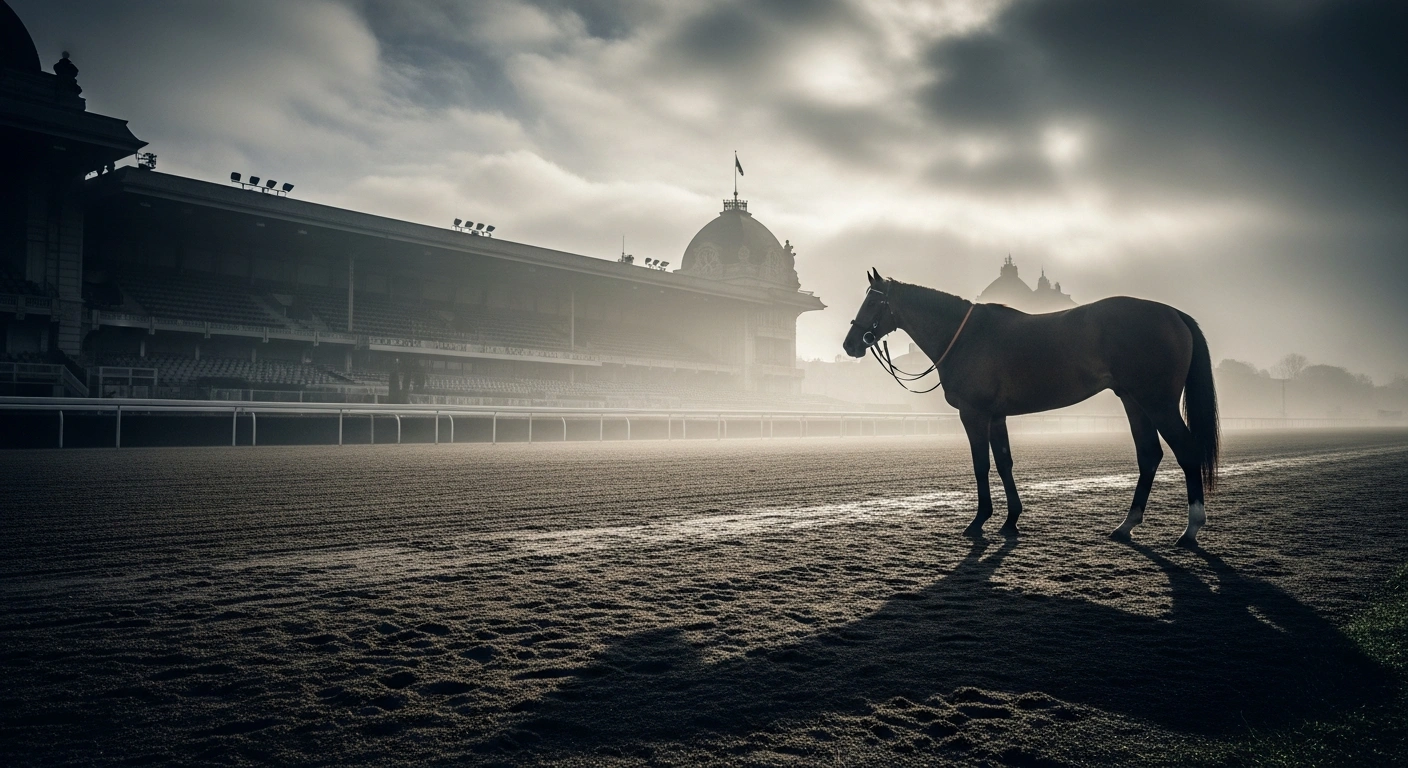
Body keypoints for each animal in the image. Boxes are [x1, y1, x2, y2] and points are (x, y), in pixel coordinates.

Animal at [842, 270, 1219, 547]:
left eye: (873, 302)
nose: (849, 344)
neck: (966, 336)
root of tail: (1173, 313)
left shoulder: (974, 414)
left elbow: (981, 466)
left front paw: (978, 521)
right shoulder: (997, 416)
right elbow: (1004, 463)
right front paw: (1010, 520)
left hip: (1158, 403)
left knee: (1186, 451)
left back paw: (1190, 530)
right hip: (1134, 401)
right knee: (1149, 455)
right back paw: (1126, 525)